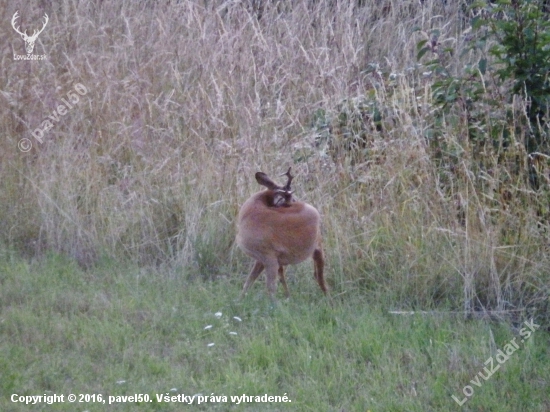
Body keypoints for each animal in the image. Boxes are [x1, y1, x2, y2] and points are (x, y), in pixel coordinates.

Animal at [236, 168, 330, 302]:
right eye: (292, 198)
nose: (294, 203)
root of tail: (315, 211)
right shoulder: (261, 258)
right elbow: (249, 281)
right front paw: (239, 301)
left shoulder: (269, 255)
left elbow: (270, 286)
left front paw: (273, 305)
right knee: (312, 274)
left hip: (317, 245)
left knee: (319, 275)